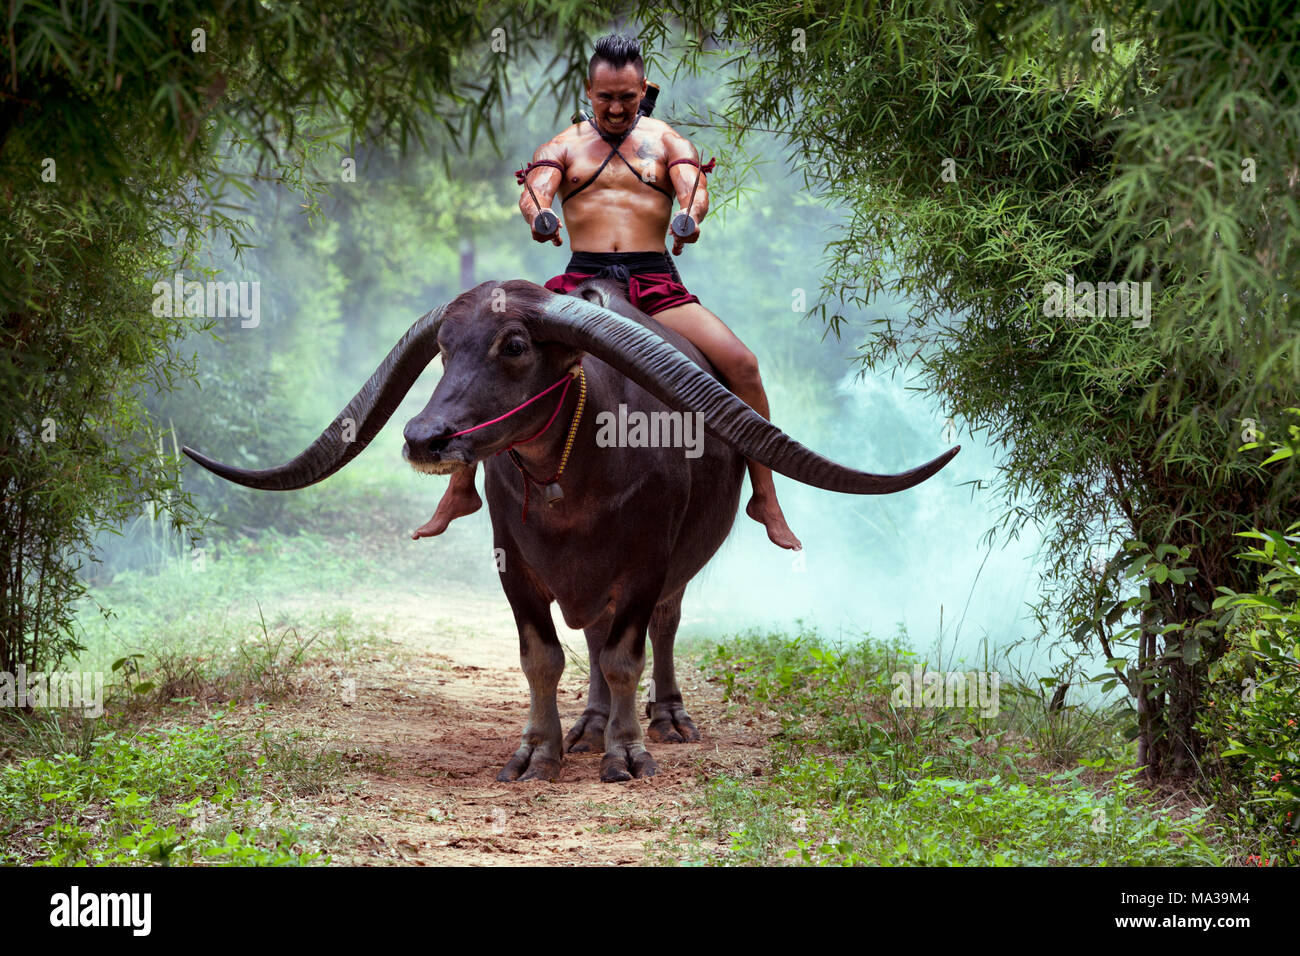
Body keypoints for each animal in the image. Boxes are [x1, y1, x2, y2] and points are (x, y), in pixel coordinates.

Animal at [180, 278, 956, 785]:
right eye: (444, 348)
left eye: (515, 345)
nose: (426, 438)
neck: (572, 478)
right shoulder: (515, 566)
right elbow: (543, 657)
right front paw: (541, 751)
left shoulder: (645, 565)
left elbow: (626, 656)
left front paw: (629, 751)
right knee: (589, 638)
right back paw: (588, 723)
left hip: (676, 568)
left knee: (661, 629)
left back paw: (664, 716)